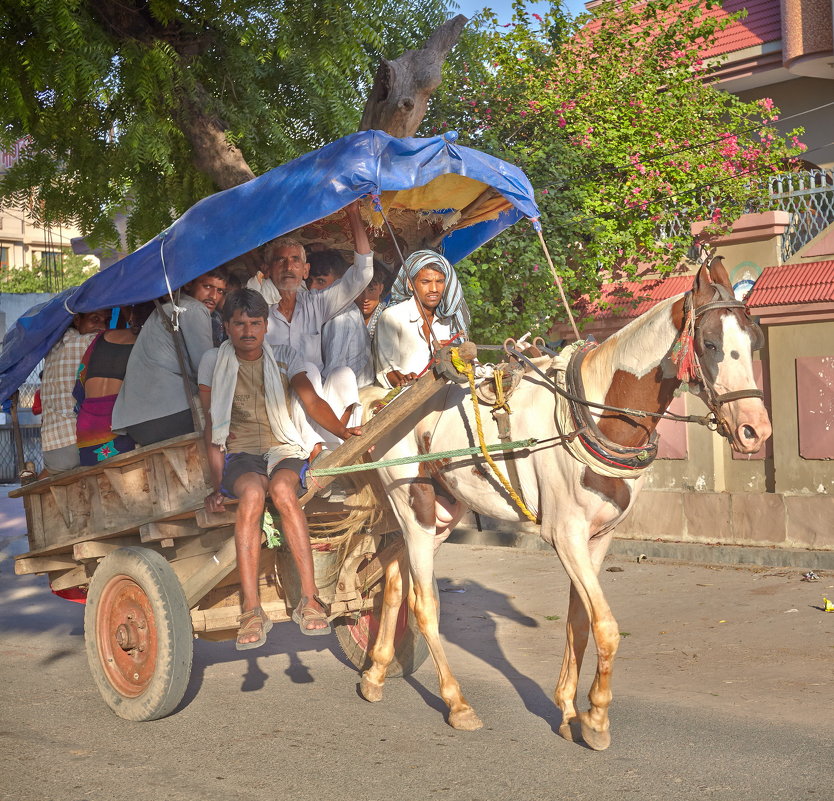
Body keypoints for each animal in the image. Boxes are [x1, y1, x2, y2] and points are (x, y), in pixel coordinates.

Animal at [354, 258, 772, 752]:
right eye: (710, 344)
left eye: (754, 341)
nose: (756, 430)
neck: (594, 416)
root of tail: (388, 401)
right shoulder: (565, 536)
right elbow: (606, 627)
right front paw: (597, 719)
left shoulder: (598, 539)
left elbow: (579, 621)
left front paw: (570, 710)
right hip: (413, 507)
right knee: (423, 603)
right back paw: (457, 703)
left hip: (441, 513)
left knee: (394, 578)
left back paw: (375, 673)